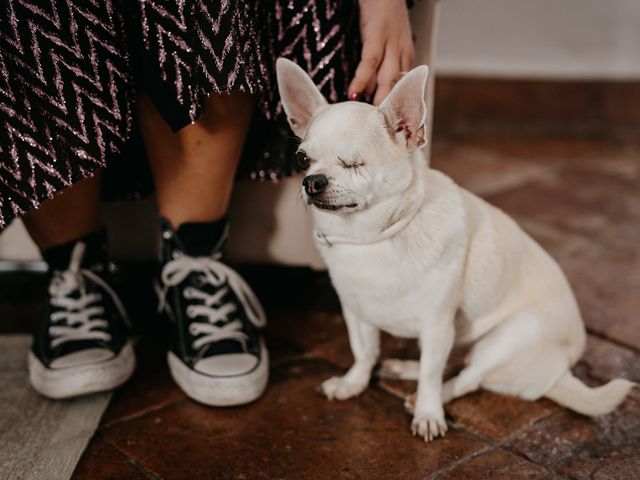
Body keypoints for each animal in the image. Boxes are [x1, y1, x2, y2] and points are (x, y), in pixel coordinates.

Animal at [276, 58, 636, 440]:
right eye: (301, 160)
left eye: (354, 164)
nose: (312, 181)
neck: (369, 239)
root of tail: (560, 374)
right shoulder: (357, 313)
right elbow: (364, 353)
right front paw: (353, 384)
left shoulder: (438, 326)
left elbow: (432, 376)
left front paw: (428, 412)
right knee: (448, 365)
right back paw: (404, 368)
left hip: (510, 335)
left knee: (466, 377)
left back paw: (427, 394)